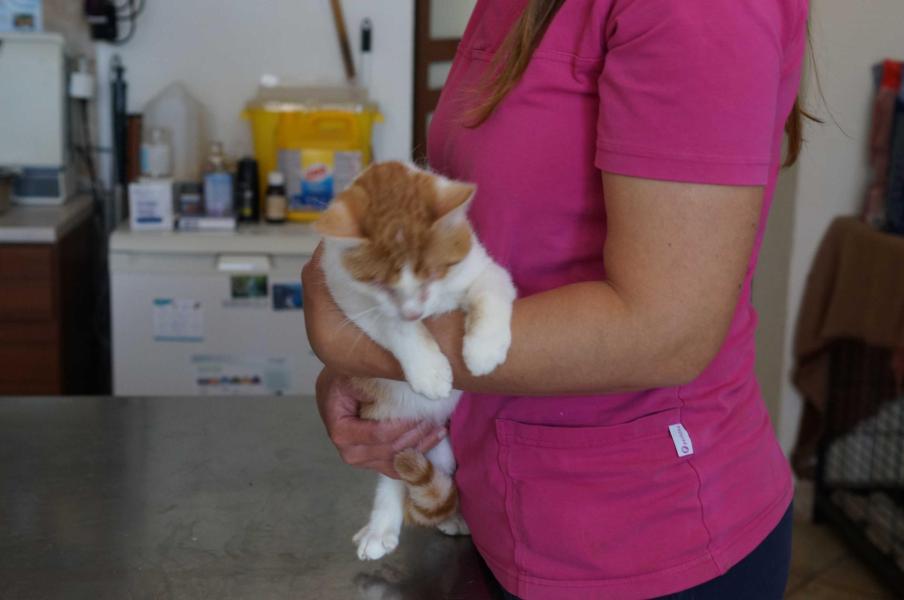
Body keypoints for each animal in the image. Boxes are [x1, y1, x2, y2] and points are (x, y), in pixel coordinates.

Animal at [314, 161, 516, 561]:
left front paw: (484, 348)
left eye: (434, 273)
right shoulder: (349, 300)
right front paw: (430, 370)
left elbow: (490, 291)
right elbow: (393, 325)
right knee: (394, 476)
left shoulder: (481, 268)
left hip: (443, 447)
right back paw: (382, 526)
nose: (413, 311)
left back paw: (452, 516)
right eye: (380, 283)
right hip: (391, 425)